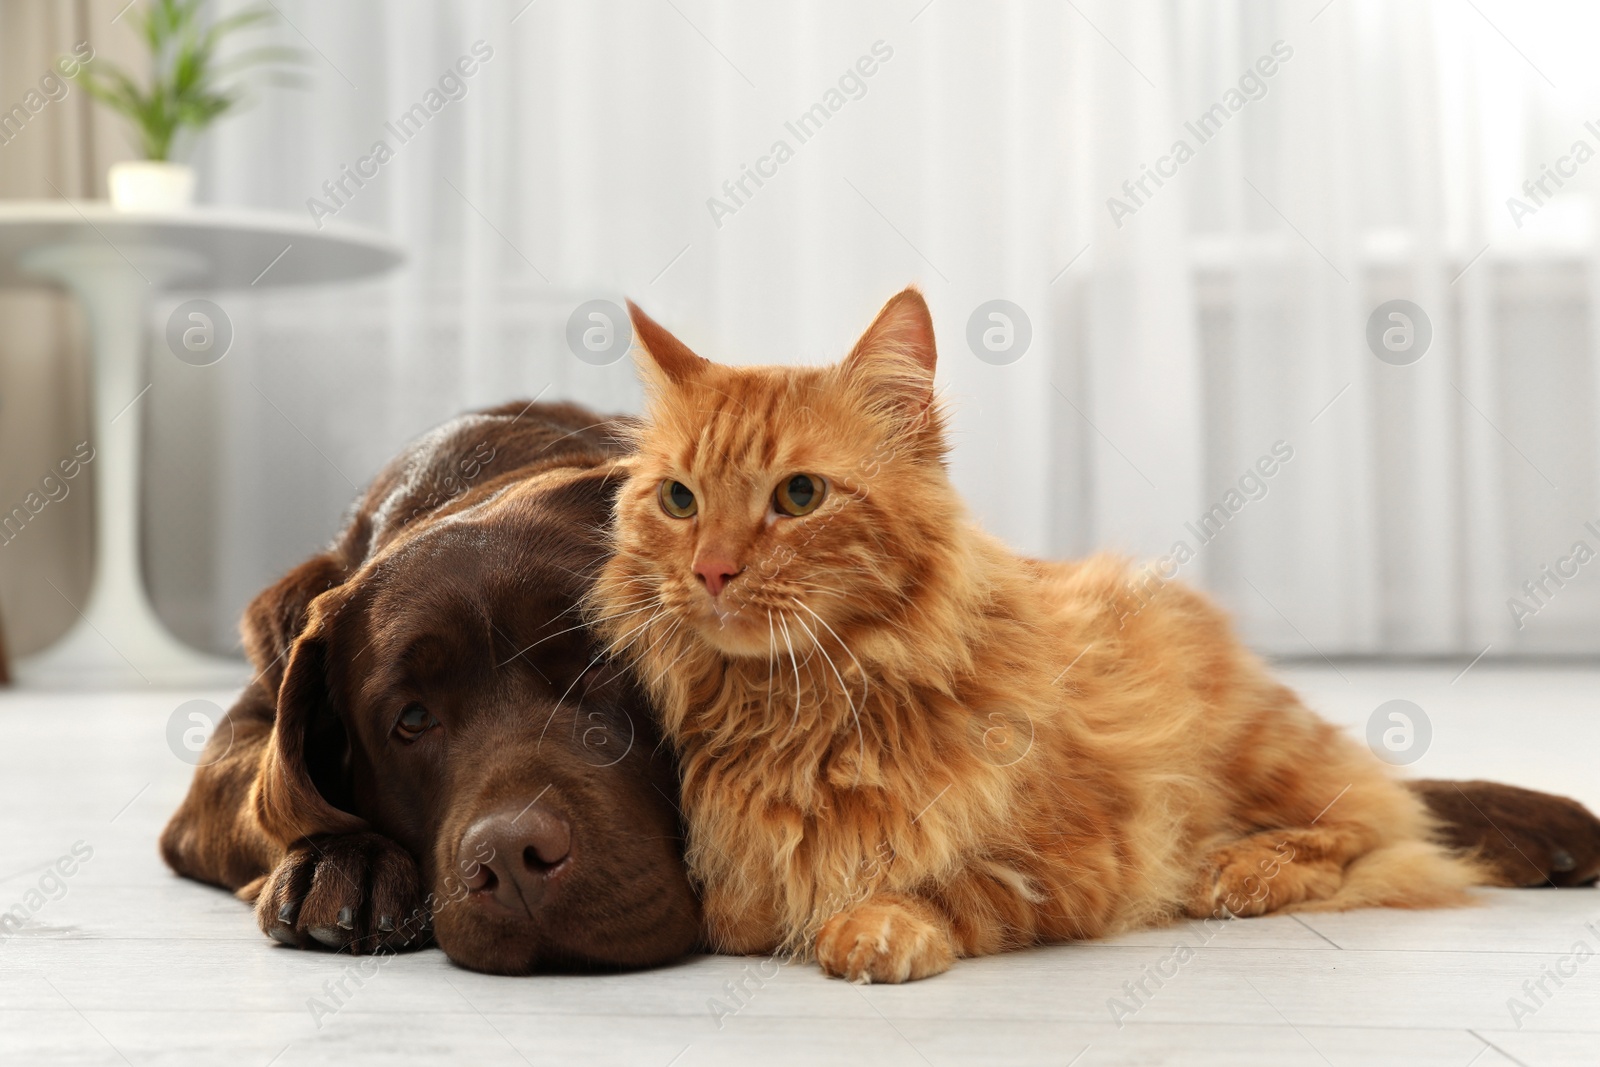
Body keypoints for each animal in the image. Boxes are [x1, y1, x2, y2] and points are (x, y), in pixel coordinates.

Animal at [592, 286, 1484, 985]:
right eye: (679, 500)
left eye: (800, 494)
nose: (711, 570)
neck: (798, 711)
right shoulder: (728, 889)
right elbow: (740, 910)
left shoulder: (1088, 861)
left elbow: (949, 886)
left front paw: (874, 924)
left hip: (1266, 753)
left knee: (1378, 821)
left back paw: (1239, 870)